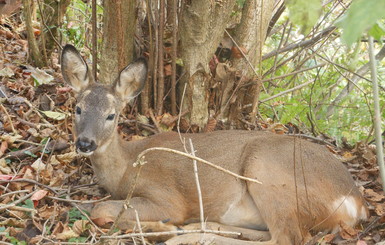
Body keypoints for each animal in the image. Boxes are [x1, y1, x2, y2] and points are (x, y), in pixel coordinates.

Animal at [61, 44, 368, 245]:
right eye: (78, 108)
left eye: (111, 115)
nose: (85, 142)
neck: (127, 166)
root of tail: (356, 202)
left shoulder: (167, 197)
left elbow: (101, 210)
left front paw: (163, 226)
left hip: (268, 171)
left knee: (286, 238)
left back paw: (182, 234)